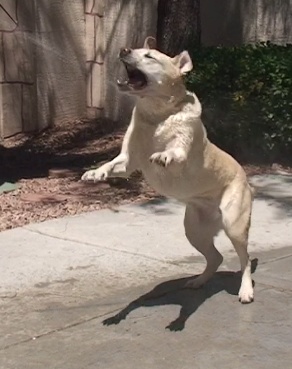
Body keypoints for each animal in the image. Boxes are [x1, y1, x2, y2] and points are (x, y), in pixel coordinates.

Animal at [81, 36, 254, 302]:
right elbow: (113, 164)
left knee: (245, 260)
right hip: (194, 230)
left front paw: (163, 154)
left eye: (150, 56)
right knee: (216, 257)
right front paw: (96, 173)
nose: (123, 49)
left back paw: (246, 290)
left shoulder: (181, 150)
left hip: (233, 223)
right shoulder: (127, 161)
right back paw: (199, 281)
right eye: (135, 50)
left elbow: (174, 152)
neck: (157, 115)